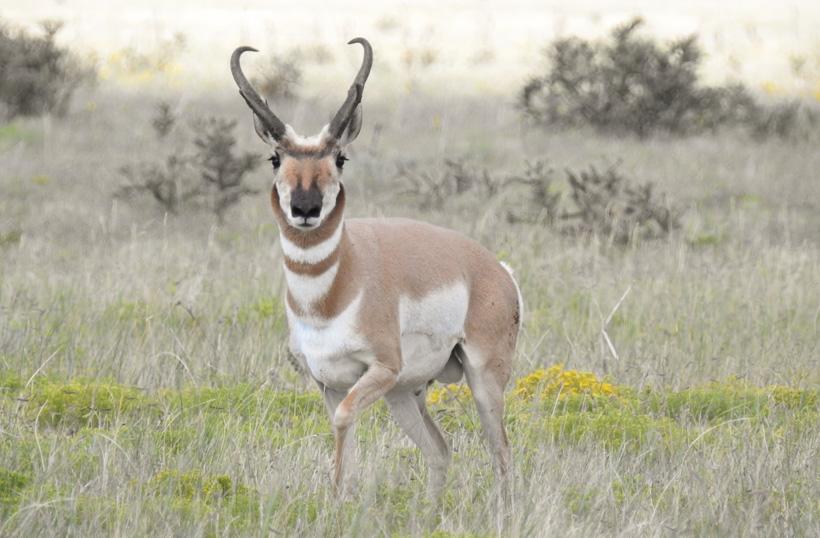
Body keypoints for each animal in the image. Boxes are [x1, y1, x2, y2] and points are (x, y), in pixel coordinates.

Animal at [230, 38, 522, 501]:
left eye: (340, 157)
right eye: (275, 158)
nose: (306, 208)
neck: (332, 293)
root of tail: (496, 269)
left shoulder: (379, 370)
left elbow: (344, 420)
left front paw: (336, 499)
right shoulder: (328, 383)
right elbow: (341, 430)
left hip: (480, 383)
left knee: (502, 455)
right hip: (404, 394)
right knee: (440, 451)